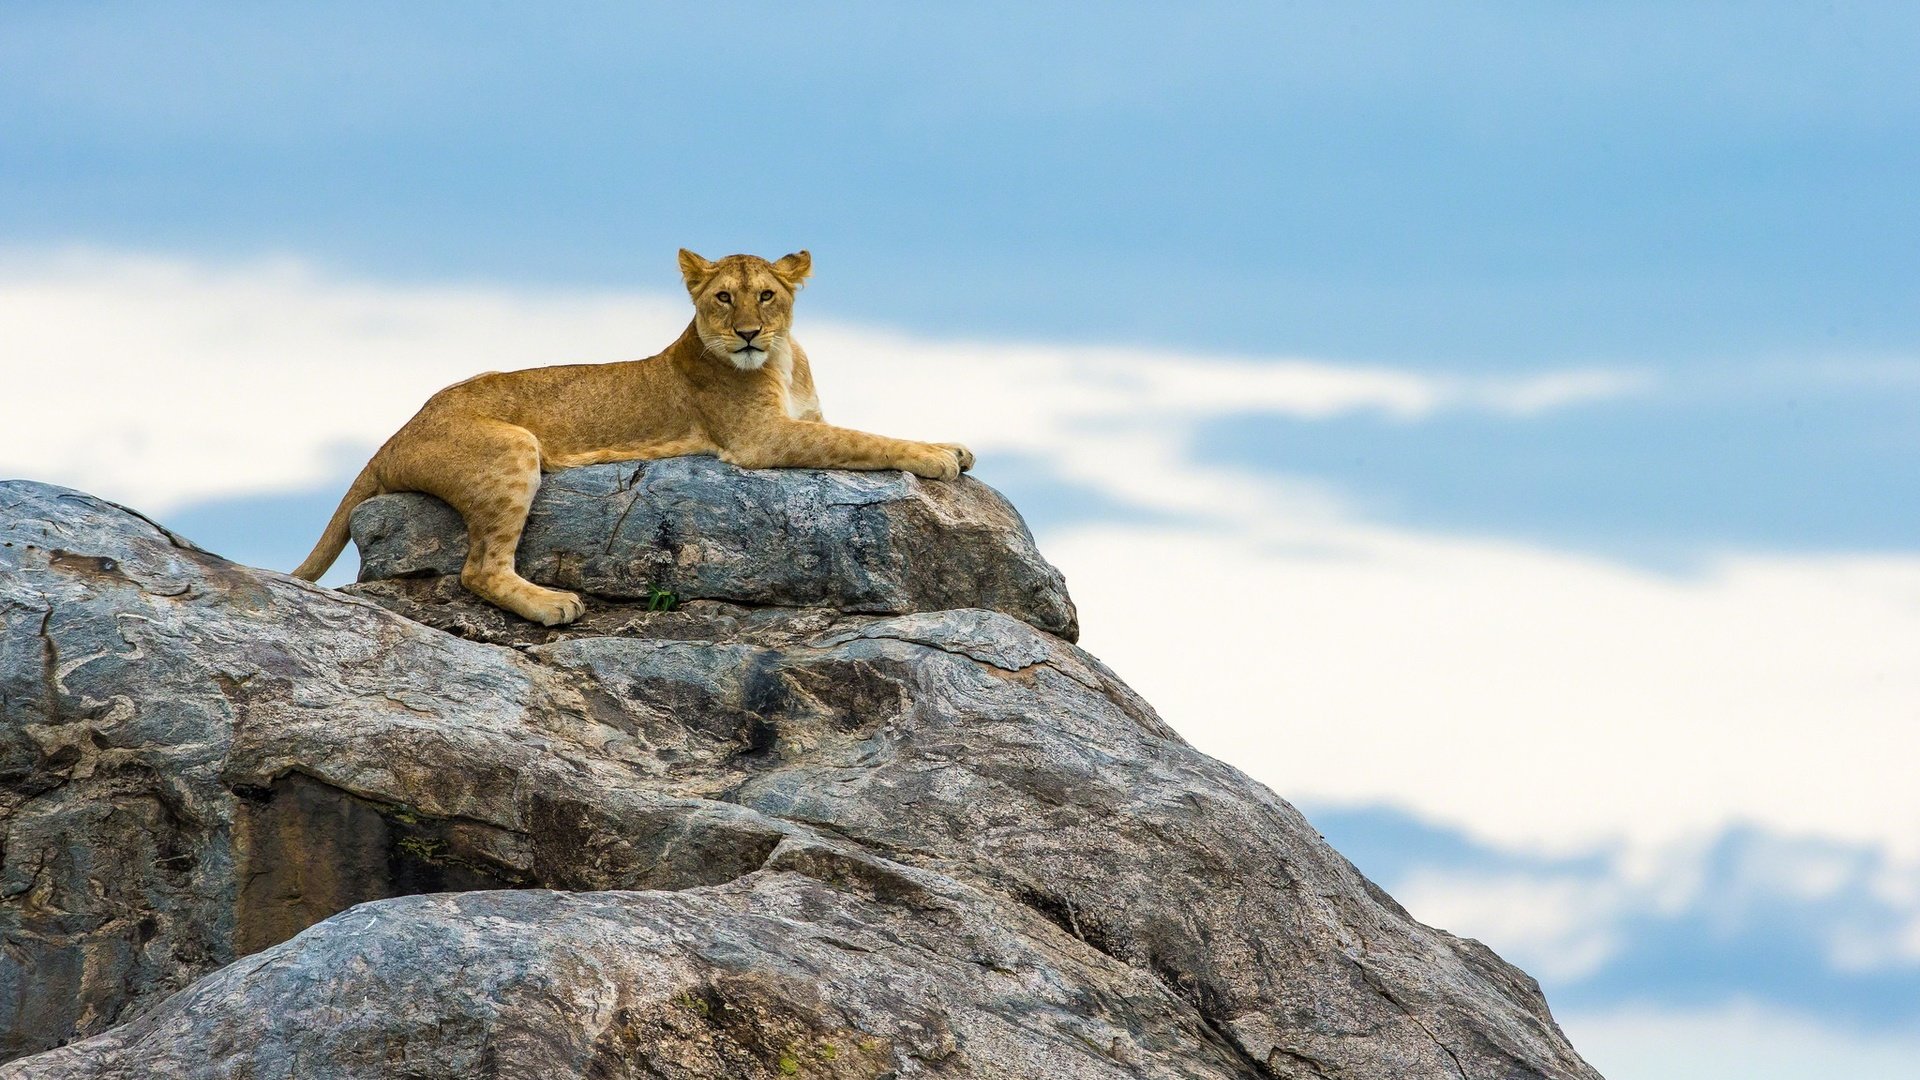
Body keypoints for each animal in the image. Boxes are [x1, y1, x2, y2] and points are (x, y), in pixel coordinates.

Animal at [293, 247, 975, 622]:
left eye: (766, 296)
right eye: (723, 298)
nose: (748, 334)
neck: (782, 359)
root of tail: (397, 432)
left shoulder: (802, 421)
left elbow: (860, 427)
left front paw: (952, 443)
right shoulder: (761, 440)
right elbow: (865, 439)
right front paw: (938, 457)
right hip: (512, 448)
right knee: (478, 570)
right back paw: (553, 605)